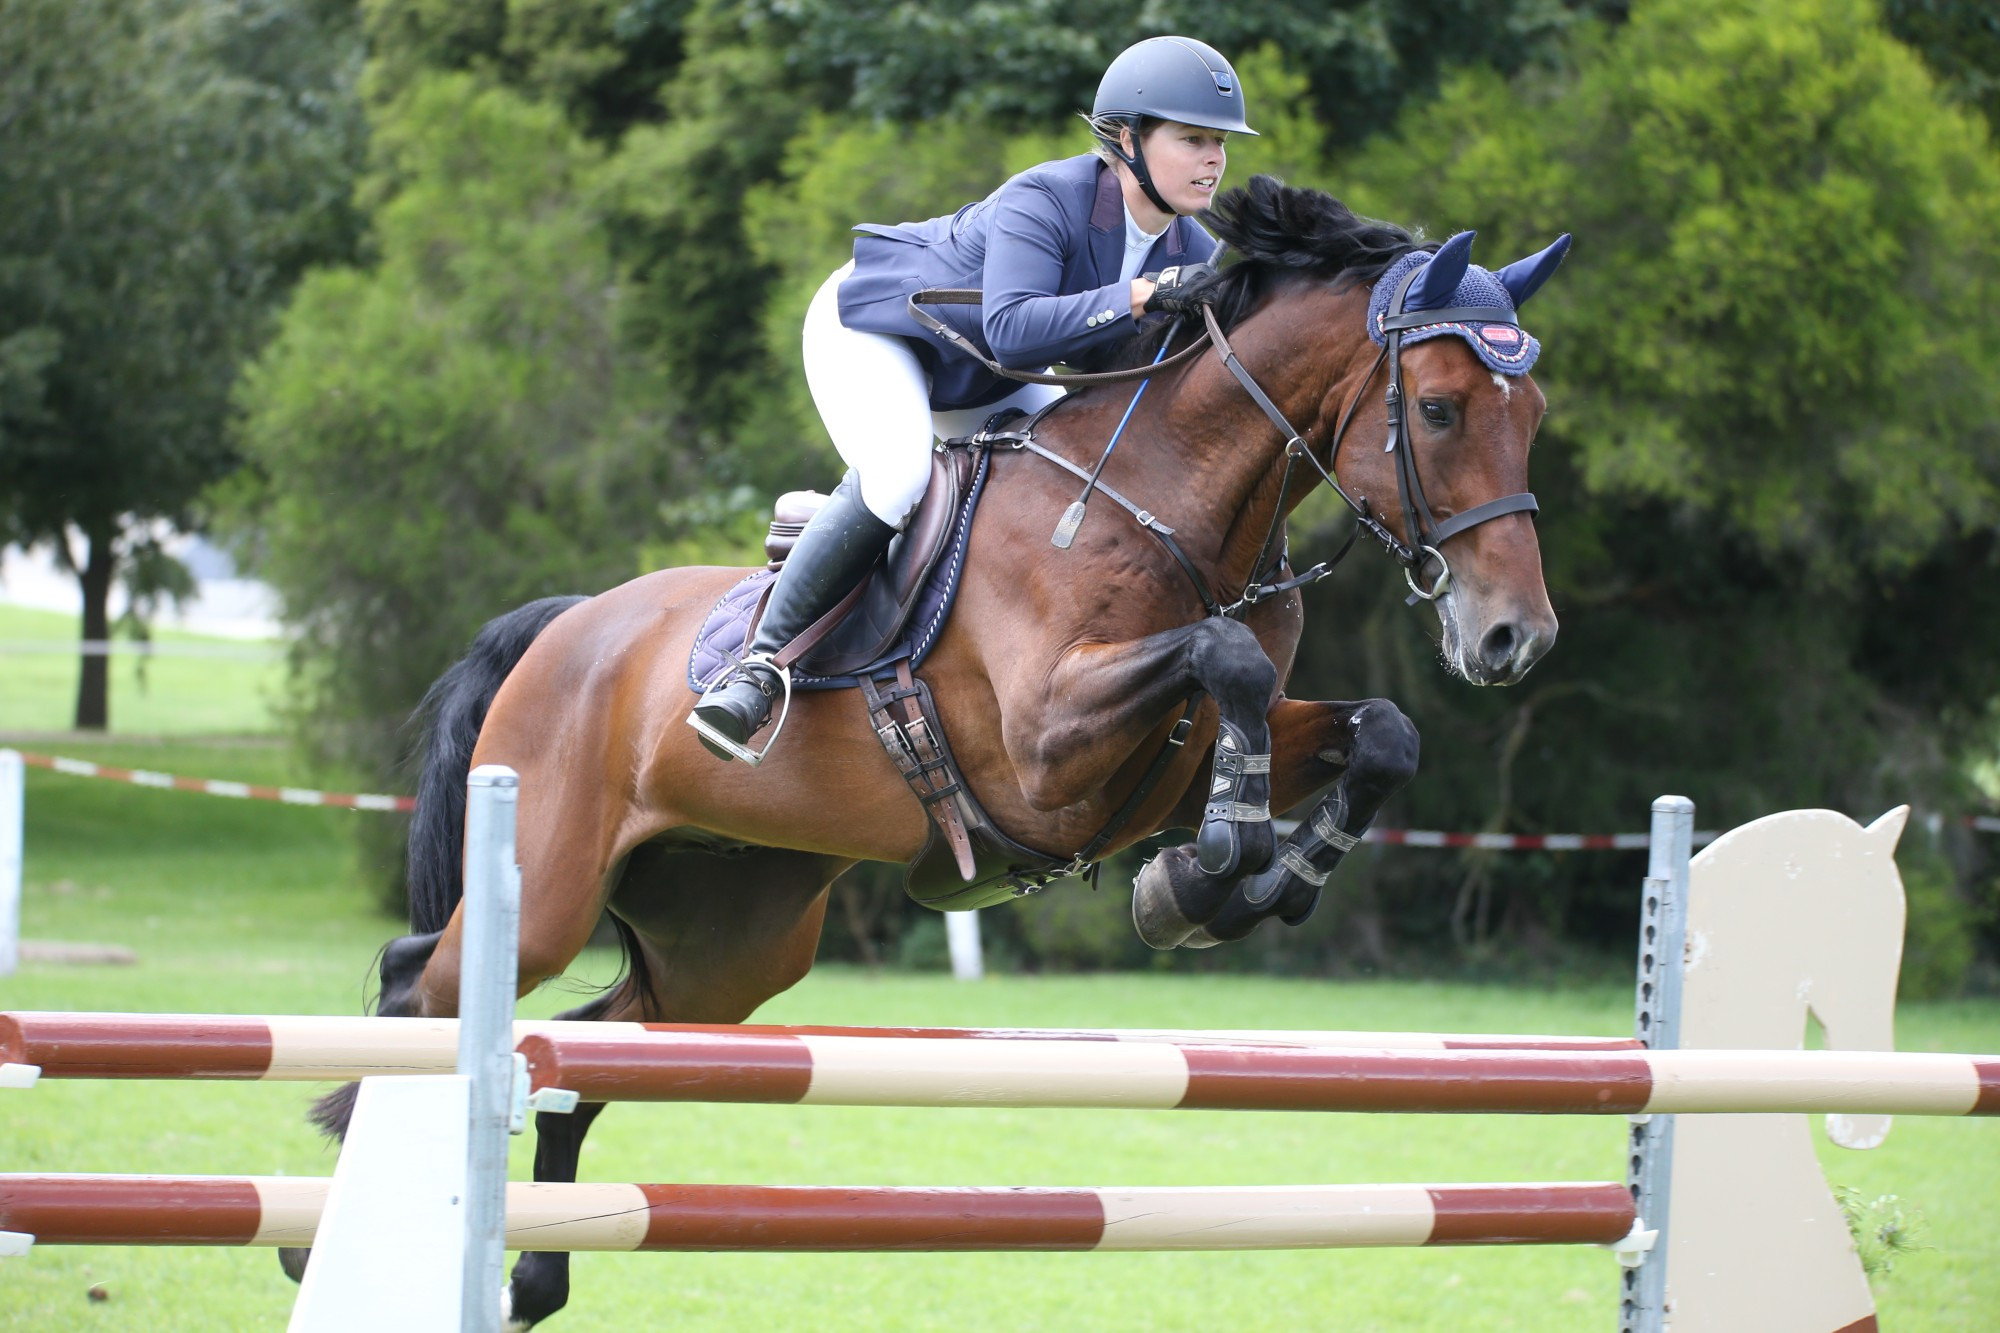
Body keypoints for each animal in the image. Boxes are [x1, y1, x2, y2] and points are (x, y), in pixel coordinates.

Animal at [296, 174, 1568, 1320]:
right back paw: (317, 1245)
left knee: (577, 1050)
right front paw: (1209, 873)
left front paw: (1241, 887)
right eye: (1439, 408)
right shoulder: (1046, 749)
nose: (1513, 638)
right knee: (425, 983)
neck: (1172, 510)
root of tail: (565, 622)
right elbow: (1226, 663)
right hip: (551, 884)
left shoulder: (1163, 763)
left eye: (1534, 414)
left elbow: (1377, 733)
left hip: (726, 943)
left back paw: (529, 1276)